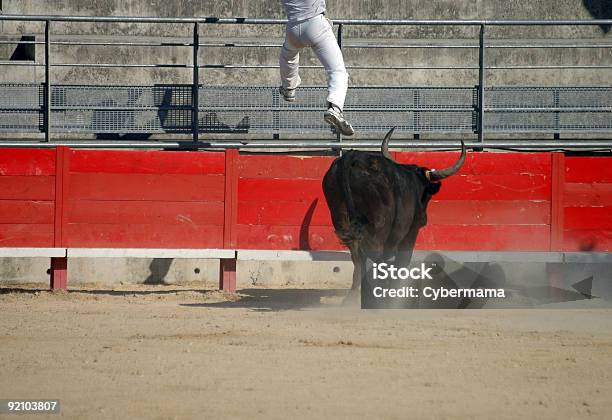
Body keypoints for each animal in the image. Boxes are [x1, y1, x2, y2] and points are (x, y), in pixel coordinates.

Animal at [322, 128, 466, 302]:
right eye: (427, 196)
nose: (423, 217)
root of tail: (354, 156)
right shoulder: (410, 234)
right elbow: (402, 262)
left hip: (340, 218)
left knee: (358, 258)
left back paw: (353, 297)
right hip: (379, 225)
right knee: (375, 256)